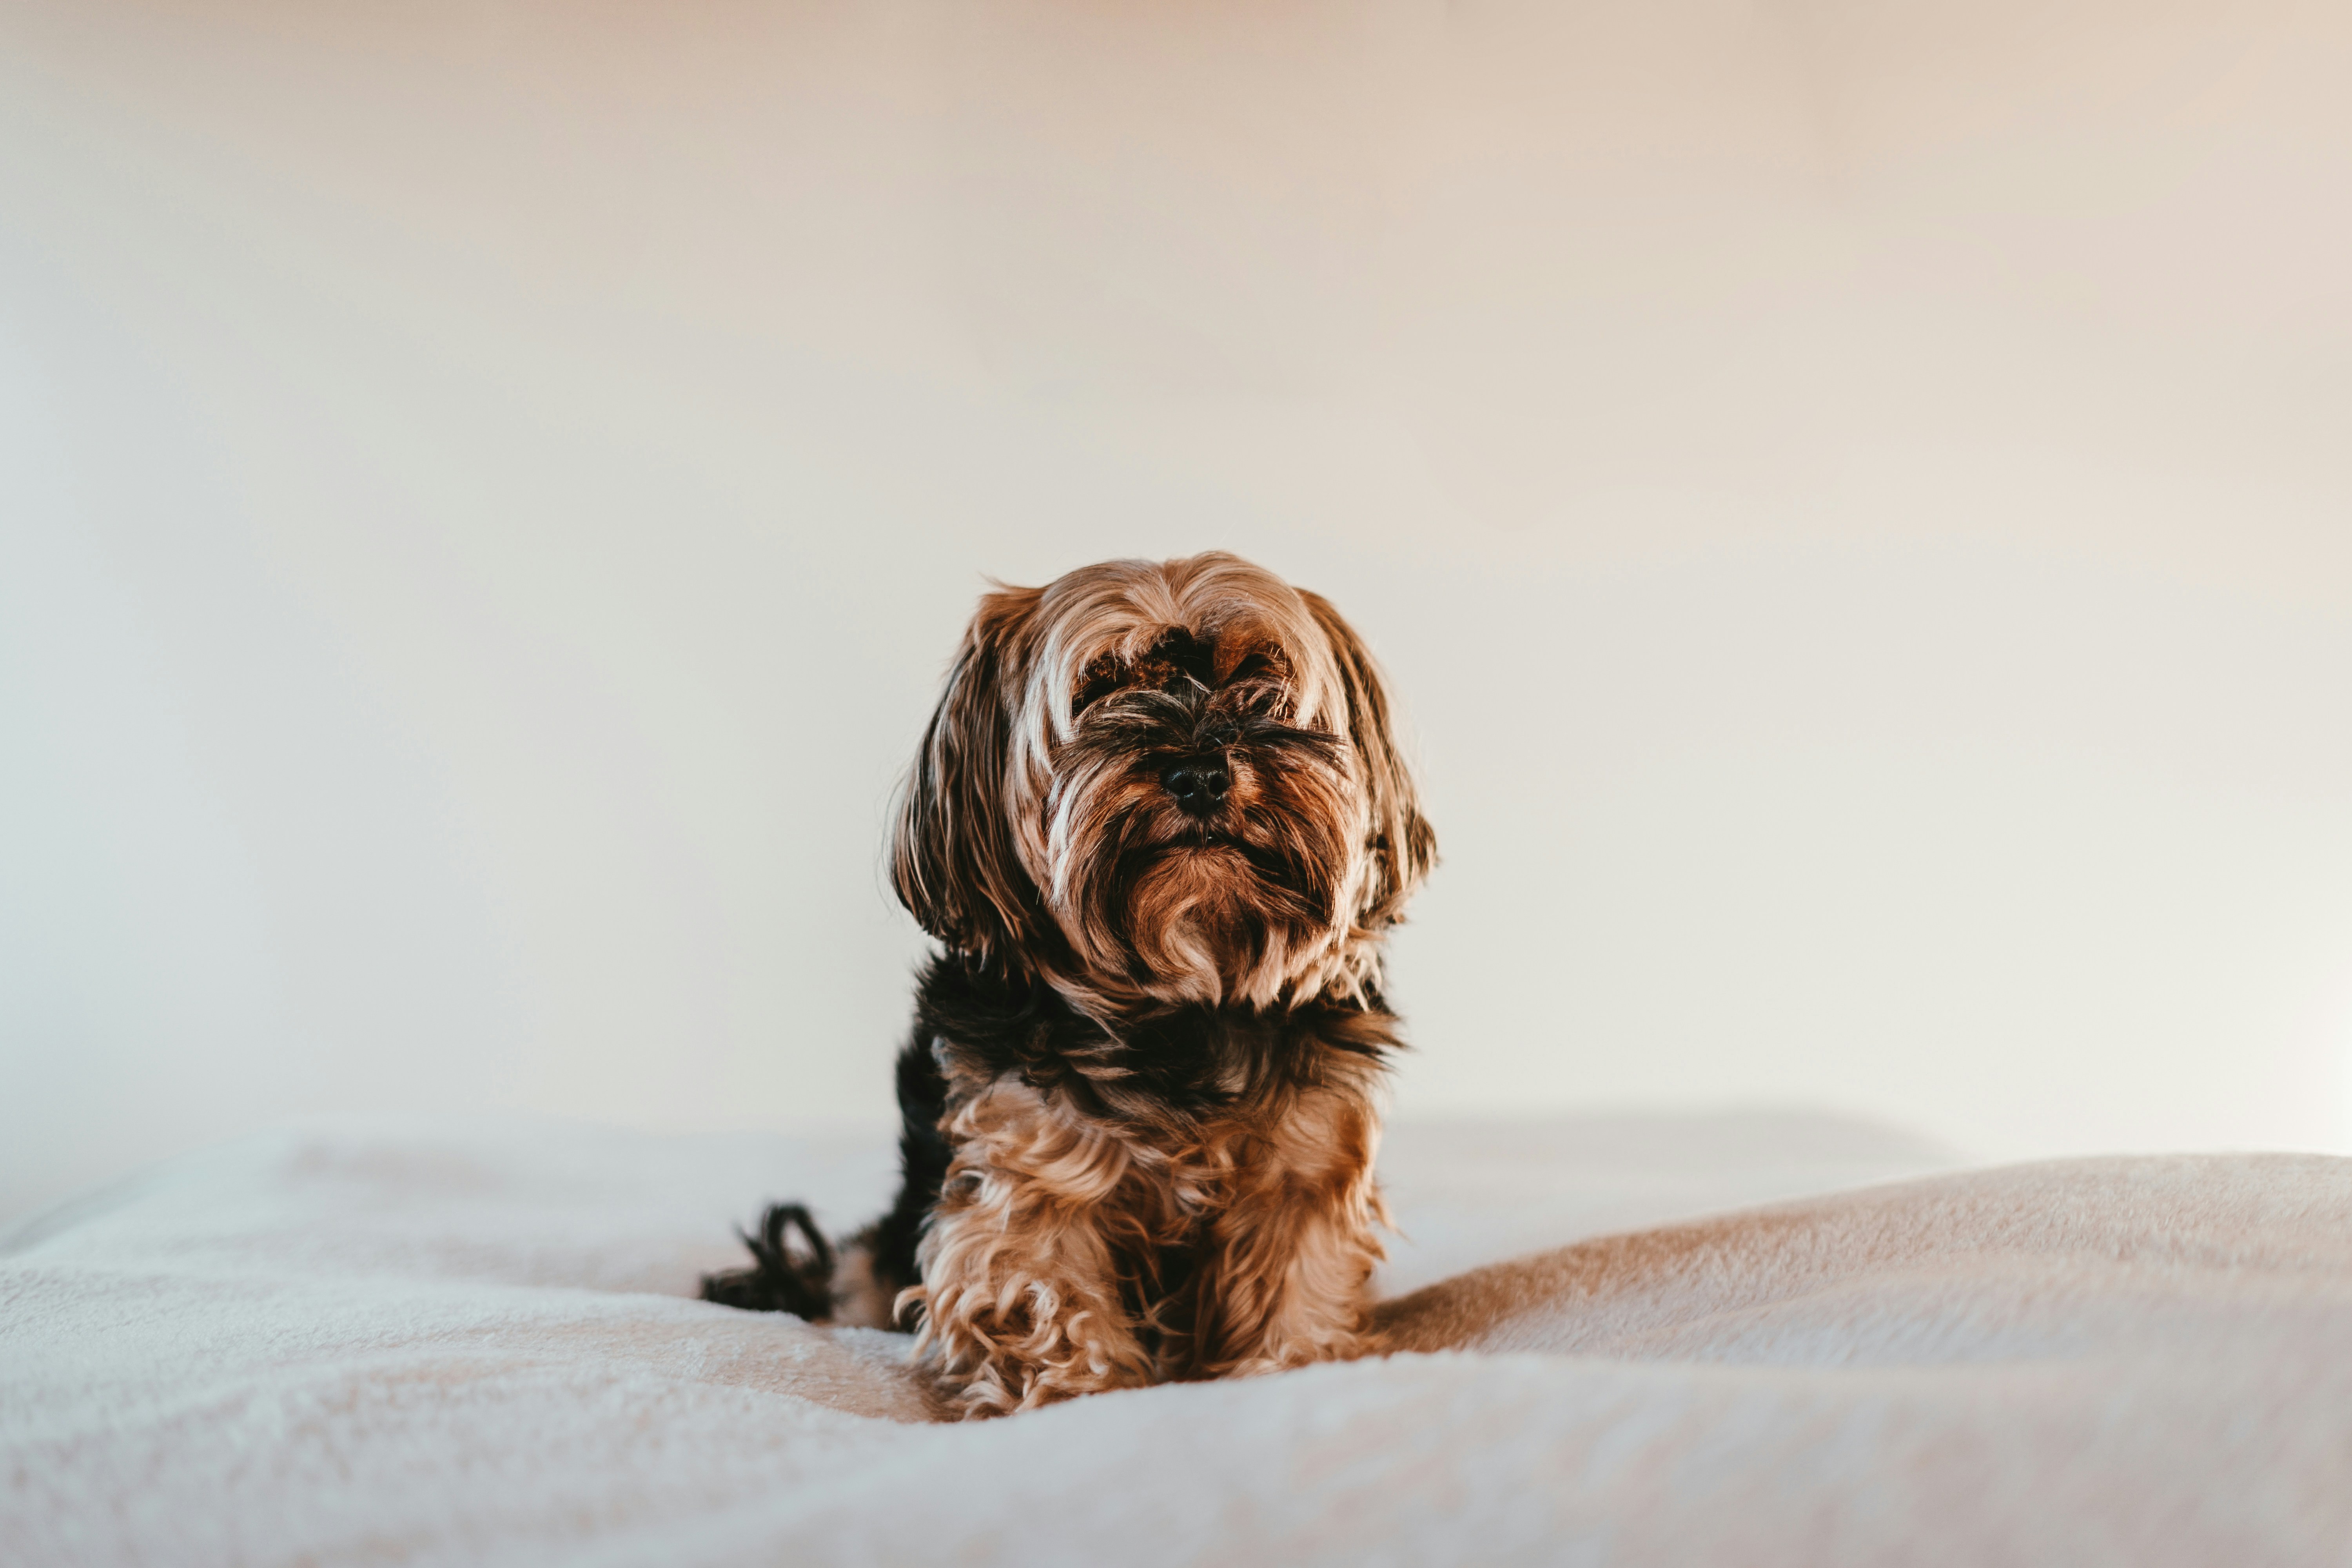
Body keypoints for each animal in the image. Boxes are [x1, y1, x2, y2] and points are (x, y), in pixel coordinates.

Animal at [696, 555, 1430, 1420]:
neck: (1182, 998)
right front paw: (1069, 1401)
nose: (1200, 771)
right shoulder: (1027, 1173)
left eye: (1259, 678)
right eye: (1099, 689)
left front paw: (1295, 1372)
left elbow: (1294, 1287)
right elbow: (1043, 1299)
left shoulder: (1301, 1167)